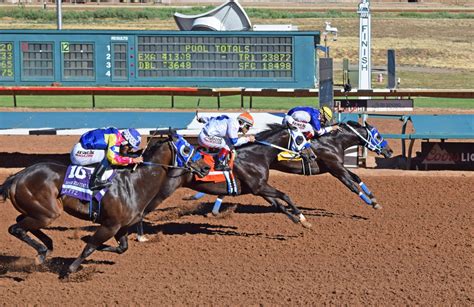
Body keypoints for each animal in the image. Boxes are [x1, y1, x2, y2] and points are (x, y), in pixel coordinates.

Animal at [0, 135, 209, 276]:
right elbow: (90, 246)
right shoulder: (110, 225)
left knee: (21, 222)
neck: (135, 183)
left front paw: (99, 247)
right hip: (48, 213)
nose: (206, 167)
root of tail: (18, 176)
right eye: (186, 149)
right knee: (15, 228)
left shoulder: (122, 227)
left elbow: (122, 248)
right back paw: (42, 251)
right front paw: (70, 269)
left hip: (38, 212)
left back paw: (46, 248)